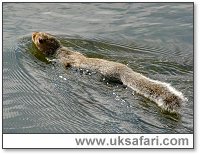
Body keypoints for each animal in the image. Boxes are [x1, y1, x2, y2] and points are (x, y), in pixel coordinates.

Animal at [32, 32, 187, 113]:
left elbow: (65, 64)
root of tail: (125, 71)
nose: (33, 33)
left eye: (38, 38)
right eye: (40, 34)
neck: (60, 50)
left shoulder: (64, 59)